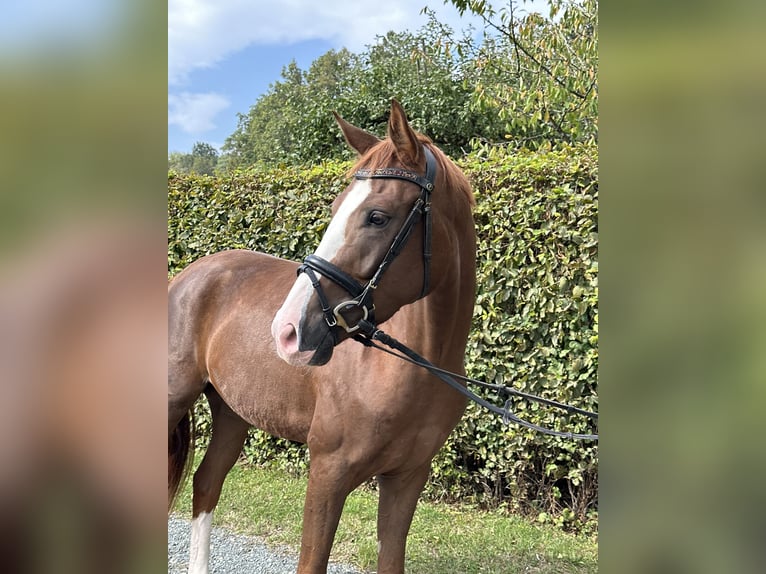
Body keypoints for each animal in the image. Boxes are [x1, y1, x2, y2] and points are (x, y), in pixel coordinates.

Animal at [171, 101, 476, 574]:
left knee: (206, 484)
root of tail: (190, 273)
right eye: (334, 207)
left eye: (377, 216)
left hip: (232, 414)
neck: (409, 367)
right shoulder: (328, 475)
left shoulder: (407, 478)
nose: (287, 331)